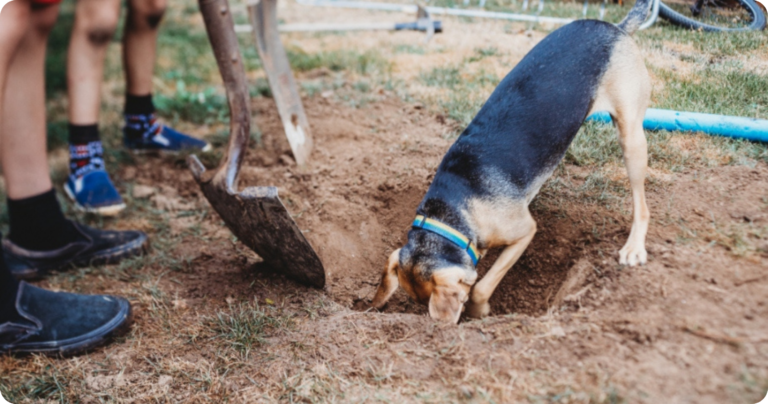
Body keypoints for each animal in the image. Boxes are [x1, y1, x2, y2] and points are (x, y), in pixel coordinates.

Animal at [372, 0, 656, 324]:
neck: (452, 209)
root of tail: (616, 28)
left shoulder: (525, 232)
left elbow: (482, 287)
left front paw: (480, 311)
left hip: (631, 135)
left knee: (642, 205)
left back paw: (634, 247)